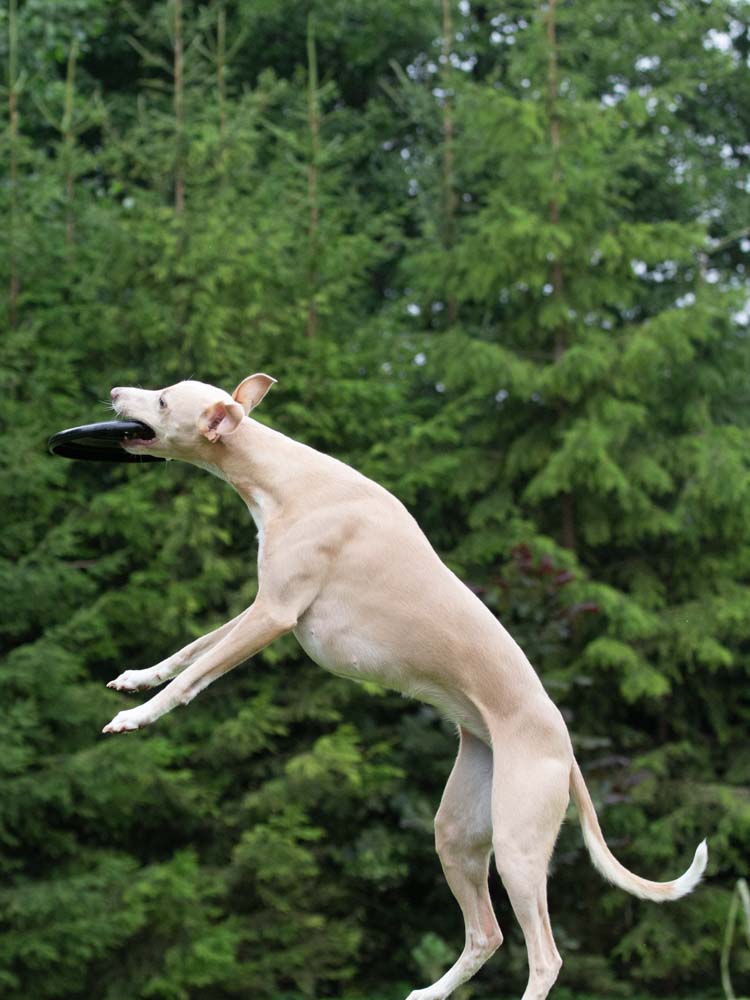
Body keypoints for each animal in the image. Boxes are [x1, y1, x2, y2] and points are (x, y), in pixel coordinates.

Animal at [103, 374, 708, 1000]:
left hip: (518, 845)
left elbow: (194, 675)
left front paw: (137, 716)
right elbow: (189, 651)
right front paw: (136, 679)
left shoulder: (274, 615)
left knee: (544, 955)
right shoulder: (261, 607)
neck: (287, 477)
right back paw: (432, 991)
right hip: (458, 830)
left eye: (163, 400)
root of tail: (565, 753)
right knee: (486, 934)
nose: (116, 391)